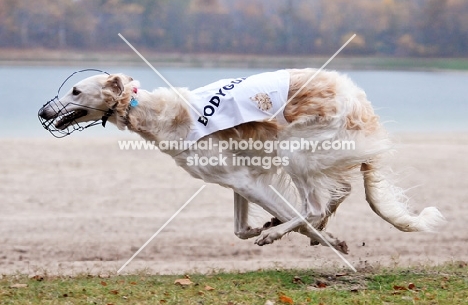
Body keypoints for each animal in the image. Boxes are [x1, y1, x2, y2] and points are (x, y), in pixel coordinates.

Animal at [38, 68, 444, 252]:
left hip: (296, 152)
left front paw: (314, 238)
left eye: (75, 90)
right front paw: (274, 227)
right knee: (331, 198)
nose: (43, 111)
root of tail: (360, 100)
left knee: (315, 206)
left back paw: (283, 233)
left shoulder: (248, 180)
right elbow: (241, 227)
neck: (163, 115)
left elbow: (294, 217)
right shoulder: (240, 179)